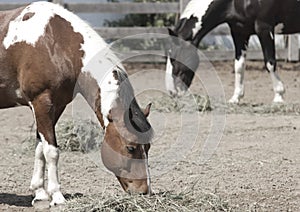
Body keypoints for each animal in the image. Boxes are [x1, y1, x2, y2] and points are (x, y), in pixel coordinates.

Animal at [0, 0, 154, 206]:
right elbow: (52, 151)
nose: (144, 191)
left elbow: (40, 147)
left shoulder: (55, 107)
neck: (54, 43)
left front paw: (40, 193)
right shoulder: (41, 102)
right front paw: (57, 196)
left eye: (148, 146)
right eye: (131, 147)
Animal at [164, 0, 300, 102]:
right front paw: (236, 97)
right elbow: (239, 65)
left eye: (174, 59)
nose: (171, 92)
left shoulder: (264, 28)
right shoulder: (239, 31)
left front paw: (279, 96)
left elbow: (270, 63)